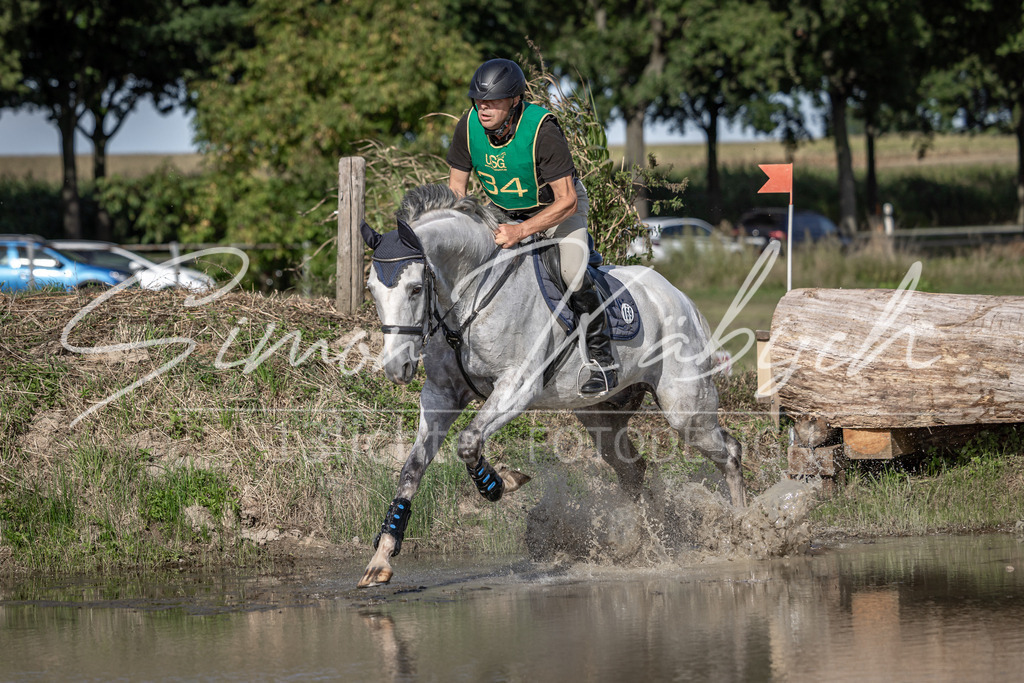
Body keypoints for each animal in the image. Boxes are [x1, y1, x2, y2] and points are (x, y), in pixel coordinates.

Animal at [356, 184, 744, 587]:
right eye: (371, 290)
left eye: (416, 289)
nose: (396, 367)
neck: (471, 297)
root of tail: (679, 297)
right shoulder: (440, 395)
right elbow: (412, 469)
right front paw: (381, 558)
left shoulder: (517, 386)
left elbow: (468, 442)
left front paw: (500, 484)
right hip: (599, 416)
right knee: (632, 469)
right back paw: (639, 544)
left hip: (685, 409)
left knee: (729, 452)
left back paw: (743, 532)